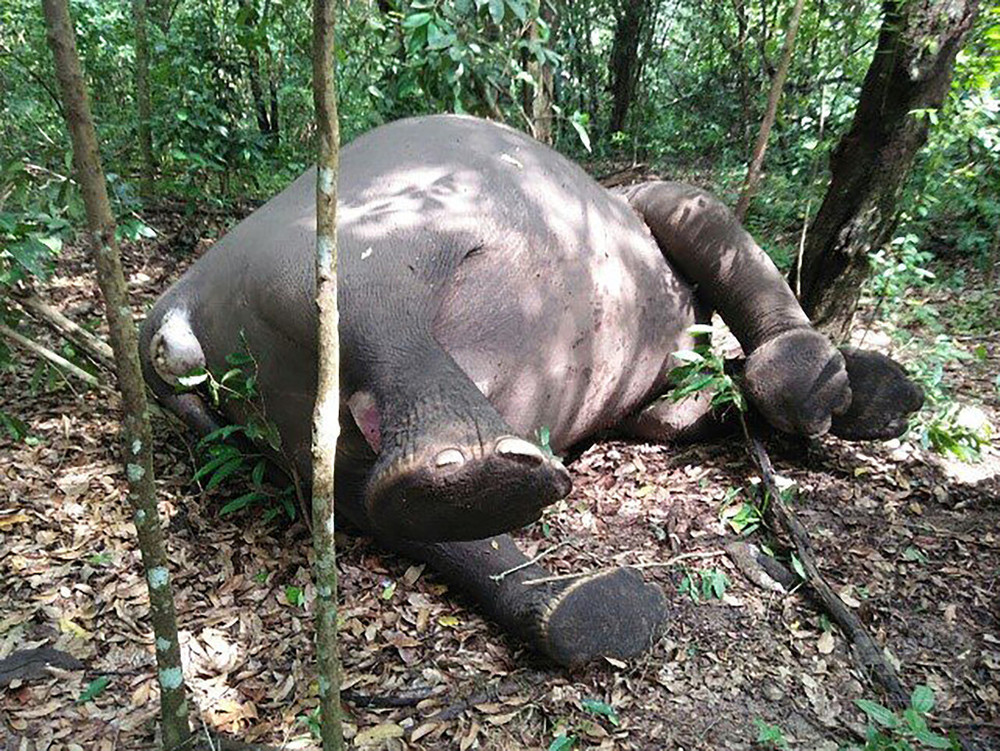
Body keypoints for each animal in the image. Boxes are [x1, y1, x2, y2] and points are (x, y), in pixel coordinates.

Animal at [140, 114, 923, 668]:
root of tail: (178, 298)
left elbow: (680, 412)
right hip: (351, 238)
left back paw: (591, 611)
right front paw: (838, 392)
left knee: (376, 504)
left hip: (282, 422)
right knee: (359, 301)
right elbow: (707, 226)